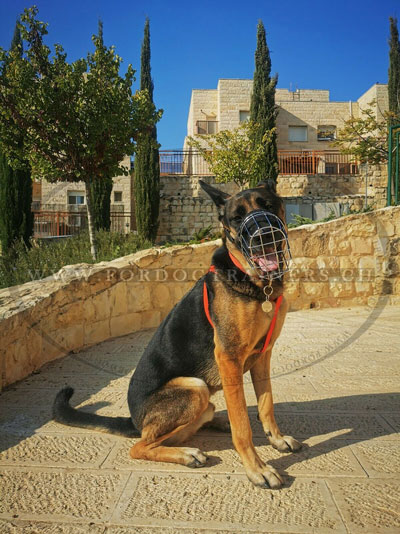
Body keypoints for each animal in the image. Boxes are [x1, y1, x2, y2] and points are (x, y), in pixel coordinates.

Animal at [54, 180, 302, 490]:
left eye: (268, 205)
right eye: (236, 217)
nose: (263, 236)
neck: (257, 283)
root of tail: (134, 420)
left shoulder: (263, 355)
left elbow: (266, 405)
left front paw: (277, 440)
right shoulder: (229, 358)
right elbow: (243, 425)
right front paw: (257, 469)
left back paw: (214, 422)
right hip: (194, 388)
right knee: (141, 445)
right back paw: (187, 453)